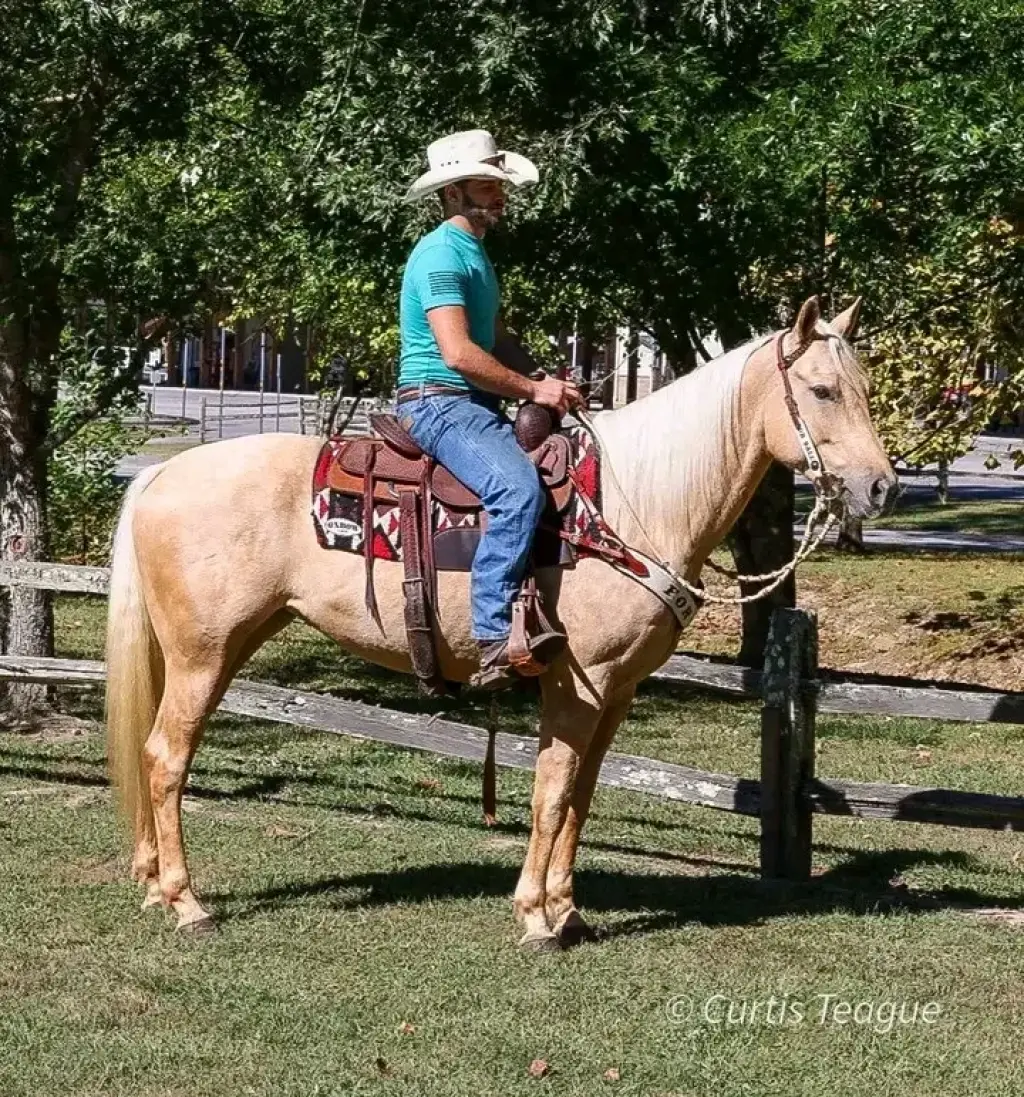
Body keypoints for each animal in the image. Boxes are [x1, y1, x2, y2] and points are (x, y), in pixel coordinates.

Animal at [106, 296, 896, 949]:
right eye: (822, 391)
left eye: (861, 388)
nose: (881, 487)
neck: (631, 503)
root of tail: (160, 474)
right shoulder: (577, 682)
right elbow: (550, 793)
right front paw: (536, 917)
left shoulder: (617, 691)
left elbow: (580, 797)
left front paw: (568, 910)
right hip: (204, 655)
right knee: (165, 757)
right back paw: (187, 902)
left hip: (213, 649)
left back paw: (152, 885)